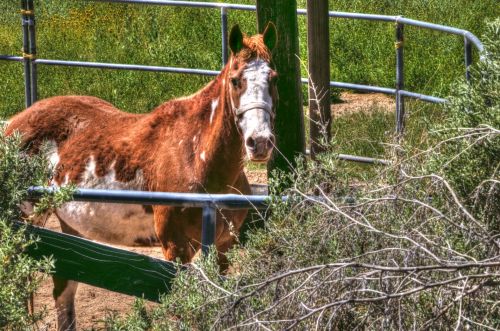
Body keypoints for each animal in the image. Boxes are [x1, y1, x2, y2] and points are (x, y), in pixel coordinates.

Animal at [5, 24, 278, 331]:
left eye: (273, 78)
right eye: (235, 81)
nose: (260, 142)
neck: (196, 154)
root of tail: (16, 122)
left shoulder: (224, 246)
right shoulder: (177, 248)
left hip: (69, 226)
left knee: (64, 286)